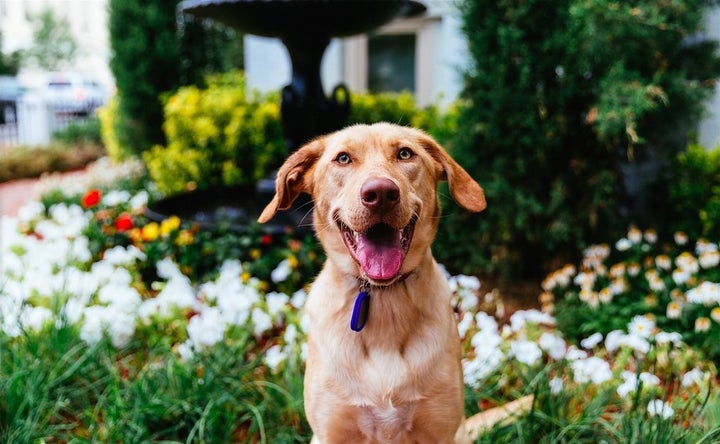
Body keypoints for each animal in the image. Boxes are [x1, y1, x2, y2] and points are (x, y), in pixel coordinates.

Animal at [258, 122, 484, 444]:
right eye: (343, 158)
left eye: (405, 153)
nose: (381, 193)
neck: (383, 296)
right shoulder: (330, 432)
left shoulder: (441, 430)